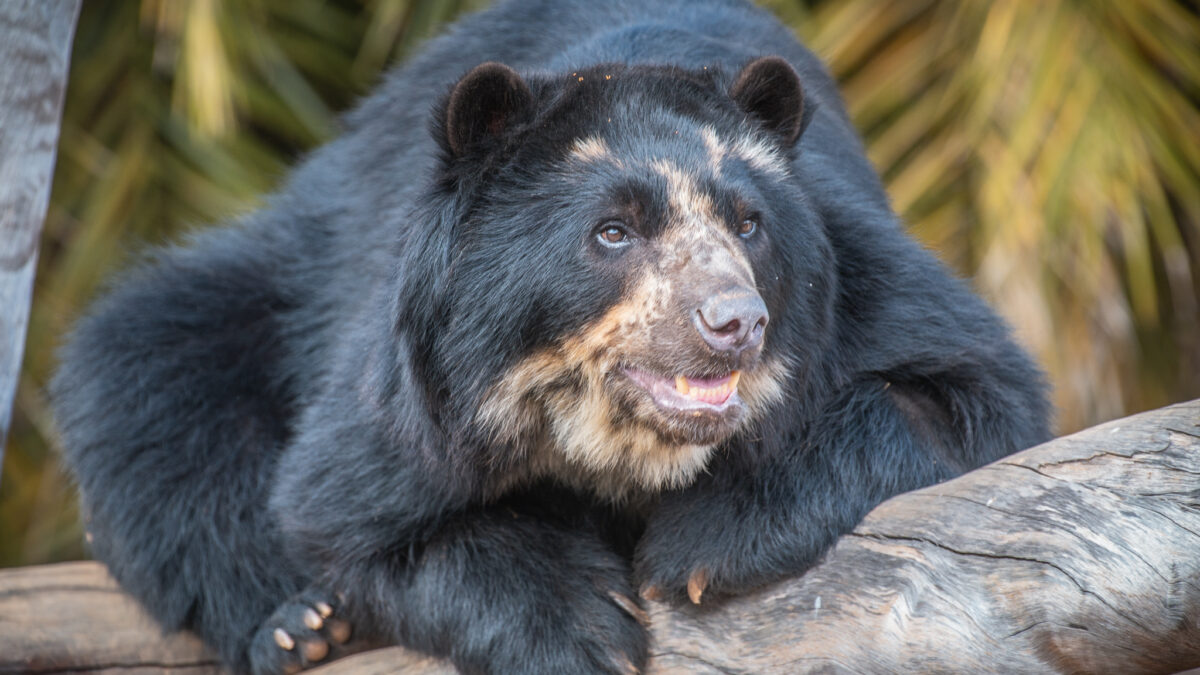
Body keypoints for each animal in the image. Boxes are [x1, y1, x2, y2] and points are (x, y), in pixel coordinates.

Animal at [54, 0, 1051, 667]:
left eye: (748, 223)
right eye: (613, 232)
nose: (736, 324)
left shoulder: (862, 280)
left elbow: (969, 393)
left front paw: (705, 543)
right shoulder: (404, 382)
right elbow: (350, 513)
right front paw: (581, 626)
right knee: (151, 385)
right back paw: (302, 629)